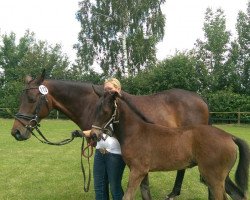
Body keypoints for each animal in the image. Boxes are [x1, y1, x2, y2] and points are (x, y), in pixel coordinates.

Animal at [90, 92, 250, 200]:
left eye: (105, 111)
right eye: (94, 109)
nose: (93, 134)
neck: (135, 132)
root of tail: (230, 136)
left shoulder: (137, 171)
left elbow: (128, 196)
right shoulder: (141, 172)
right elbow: (145, 192)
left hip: (213, 177)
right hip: (218, 177)